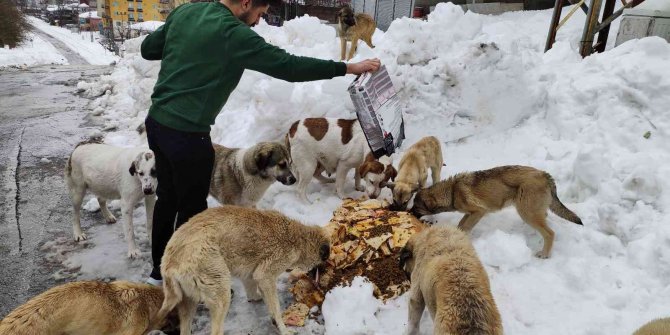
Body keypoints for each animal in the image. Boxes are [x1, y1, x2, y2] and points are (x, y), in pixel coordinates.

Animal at [152, 206, 330, 335]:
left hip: (188, 302)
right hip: (221, 293)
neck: (299, 238)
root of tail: (169, 262)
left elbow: (253, 292)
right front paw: (283, 329)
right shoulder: (266, 275)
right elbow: (276, 309)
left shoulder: (251, 275)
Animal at [410, 167, 584, 258]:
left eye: (415, 207)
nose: (407, 212)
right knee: (544, 220)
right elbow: (461, 224)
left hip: (526, 212)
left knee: (550, 233)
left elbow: (465, 227)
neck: (452, 191)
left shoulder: (479, 211)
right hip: (530, 211)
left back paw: (544, 254)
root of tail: (545, 175)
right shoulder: (470, 213)